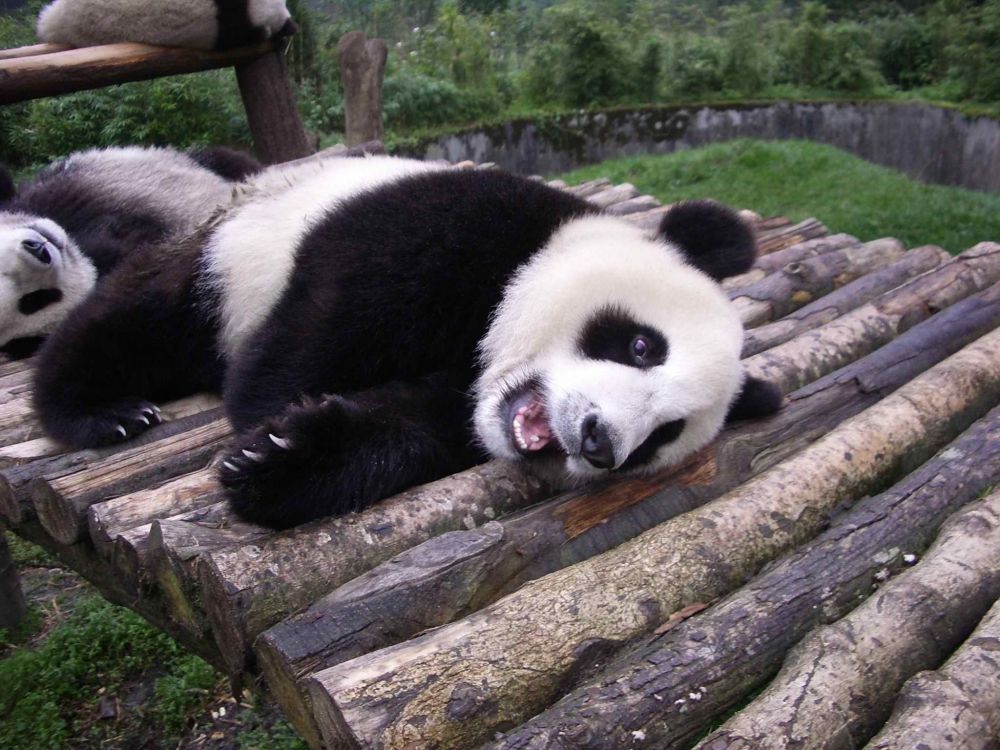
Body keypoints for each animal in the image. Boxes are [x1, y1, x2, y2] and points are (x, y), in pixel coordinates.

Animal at [33, 156, 782, 529]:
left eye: (663, 434)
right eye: (641, 346)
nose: (599, 443)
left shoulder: (457, 405)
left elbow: (406, 429)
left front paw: (286, 460)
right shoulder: (457, 224)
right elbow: (321, 324)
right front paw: (264, 418)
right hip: (225, 250)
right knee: (141, 319)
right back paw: (104, 411)